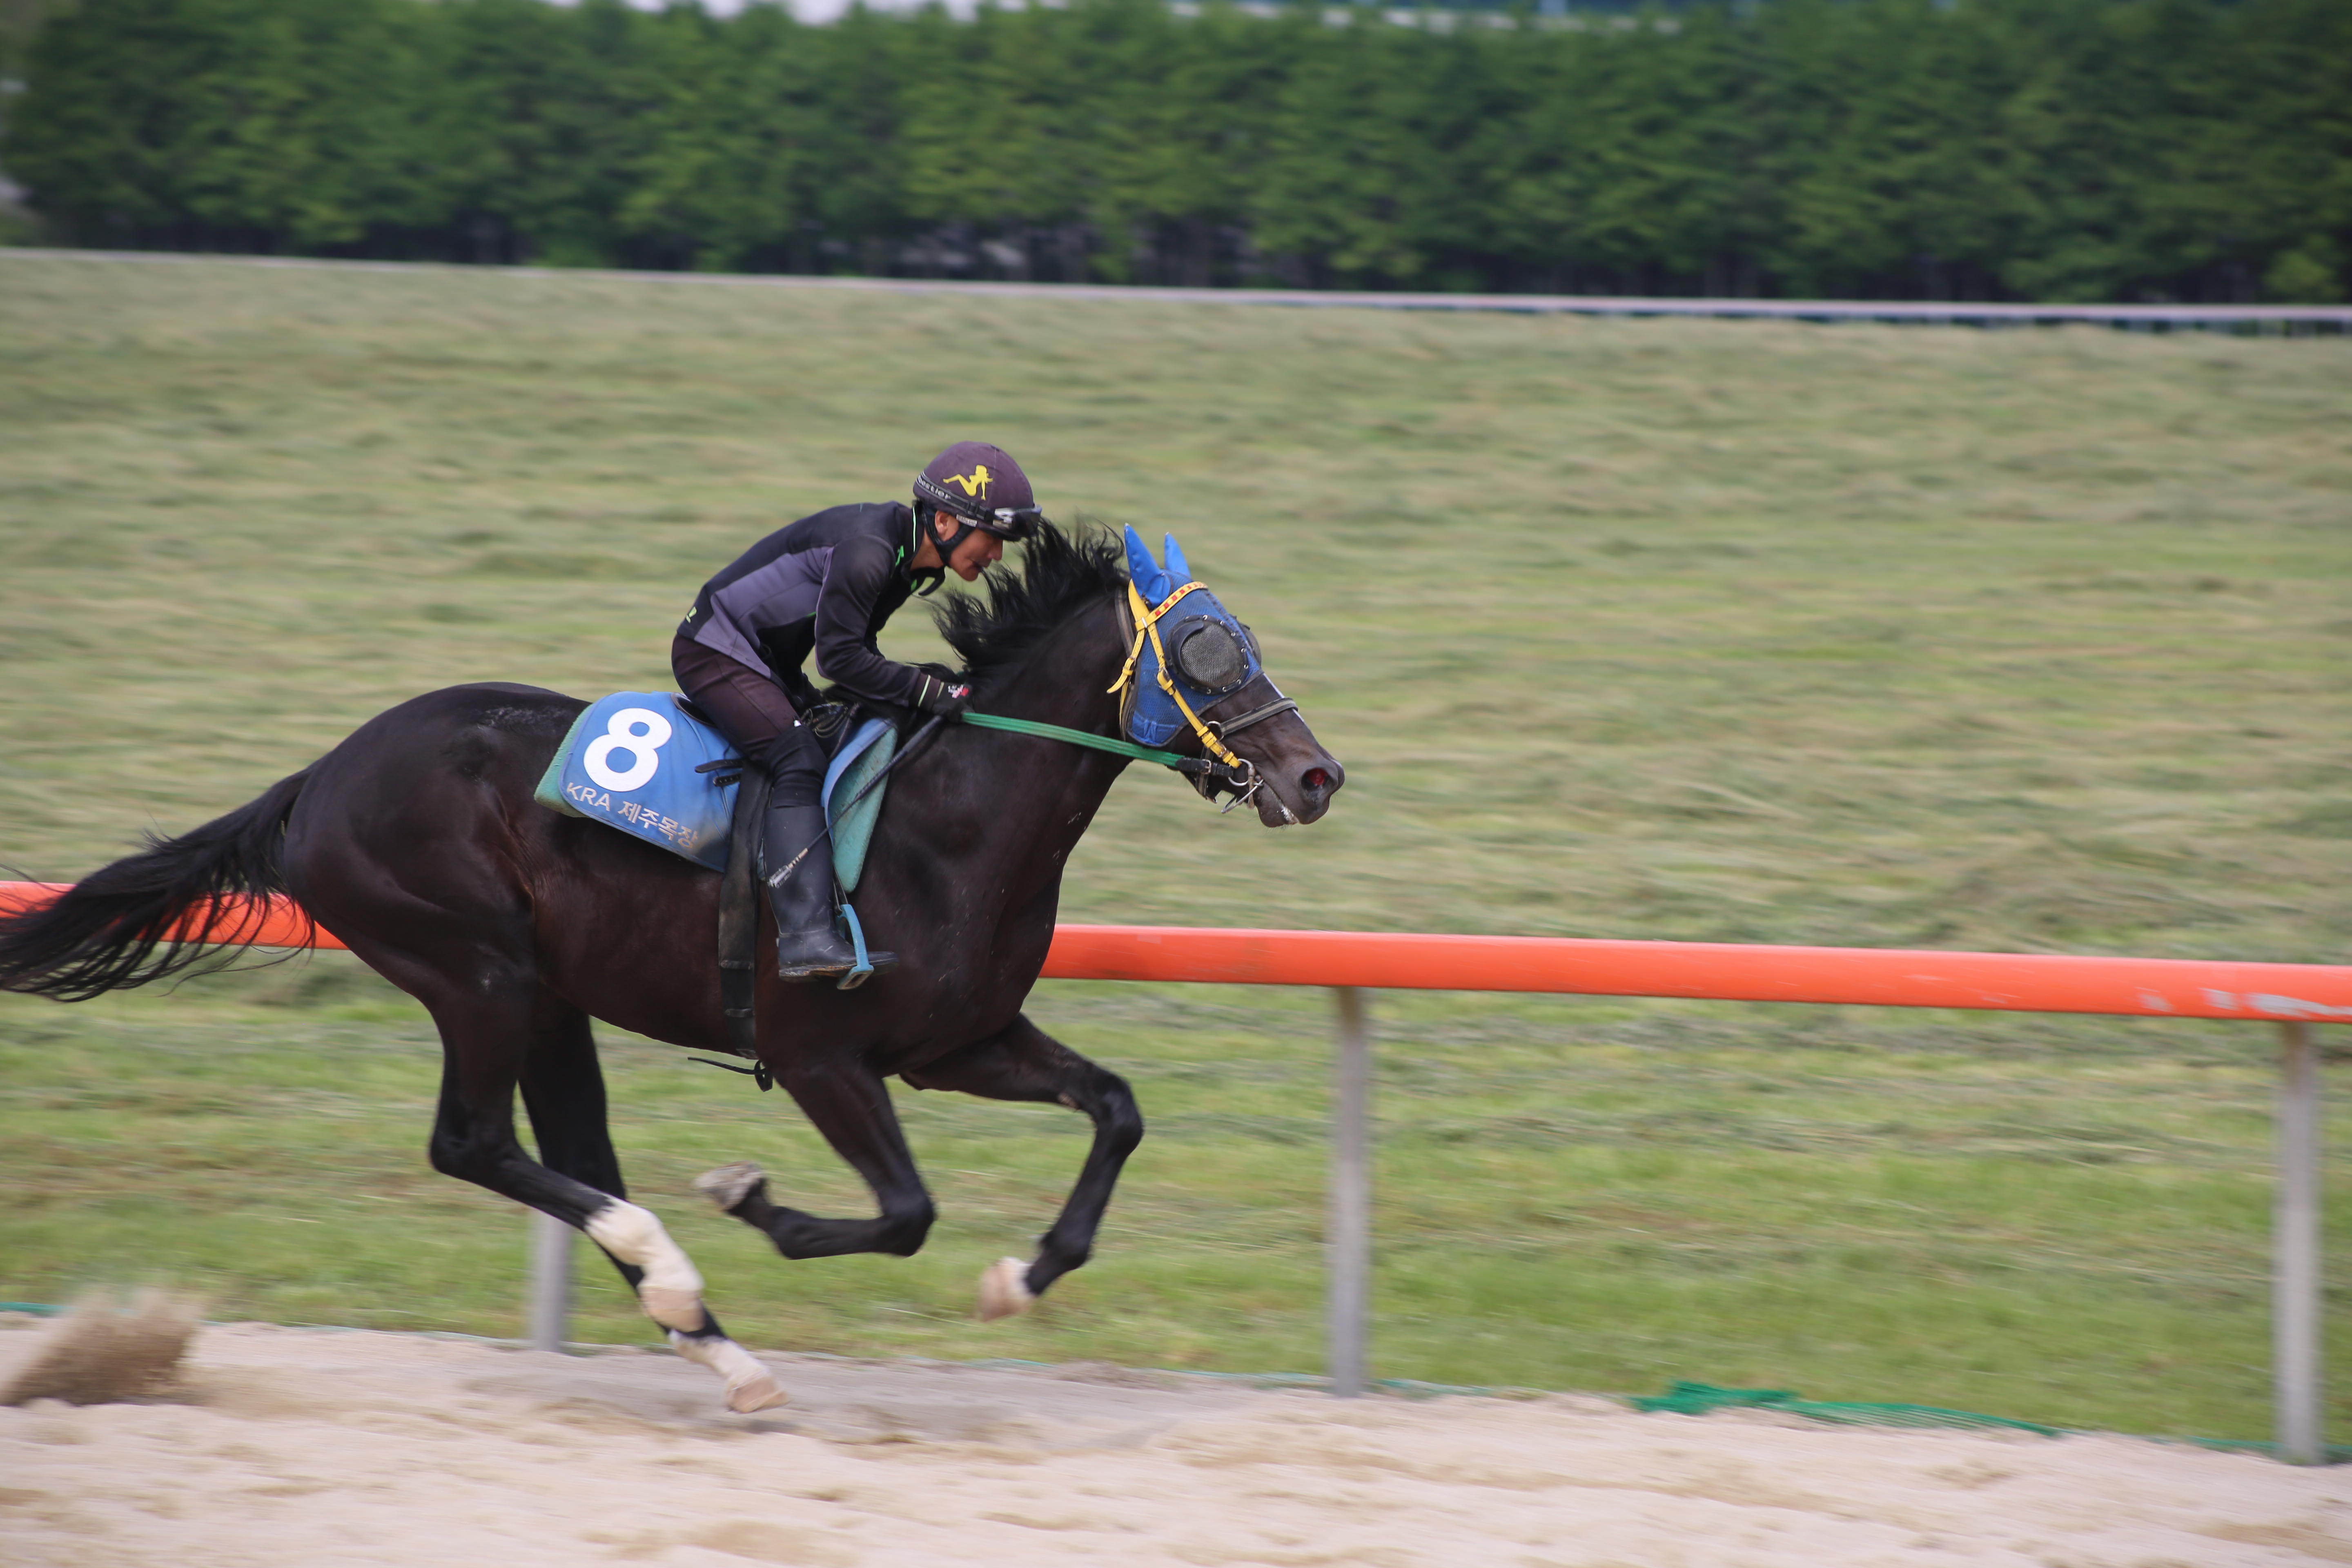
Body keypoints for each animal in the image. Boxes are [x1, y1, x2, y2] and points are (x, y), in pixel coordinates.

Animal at [0, 522, 1345, 1420]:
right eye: (1207, 647)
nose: (1317, 774)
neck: (950, 820)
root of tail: (319, 776)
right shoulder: (821, 1054)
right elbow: (903, 1210)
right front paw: (754, 1198)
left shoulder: (956, 1042)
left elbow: (1115, 1106)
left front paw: (1022, 1275)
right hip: (476, 969)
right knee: (474, 1144)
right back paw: (680, 1274)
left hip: (550, 997)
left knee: (570, 1157)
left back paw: (706, 1332)